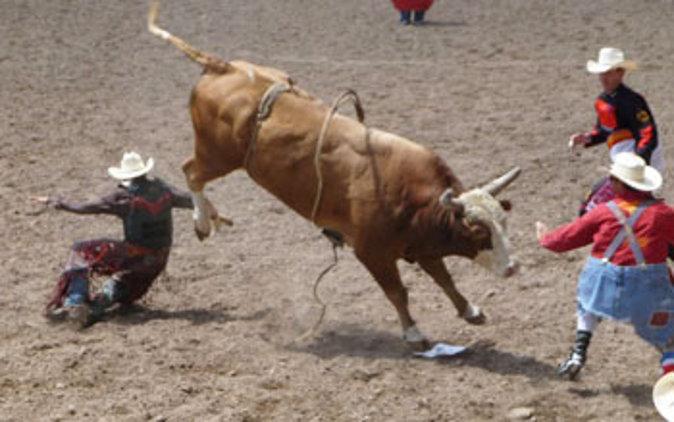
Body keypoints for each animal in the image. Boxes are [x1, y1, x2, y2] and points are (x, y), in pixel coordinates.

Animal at [148, 1, 520, 351]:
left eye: (503, 222)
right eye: (479, 231)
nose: (514, 267)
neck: (410, 197)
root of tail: (222, 66)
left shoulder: (423, 243)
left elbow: (445, 279)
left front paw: (471, 311)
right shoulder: (372, 253)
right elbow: (398, 292)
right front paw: (414, 333)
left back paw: (211, 215)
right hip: (217, 155)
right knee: (191, 172)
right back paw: (202, 221)